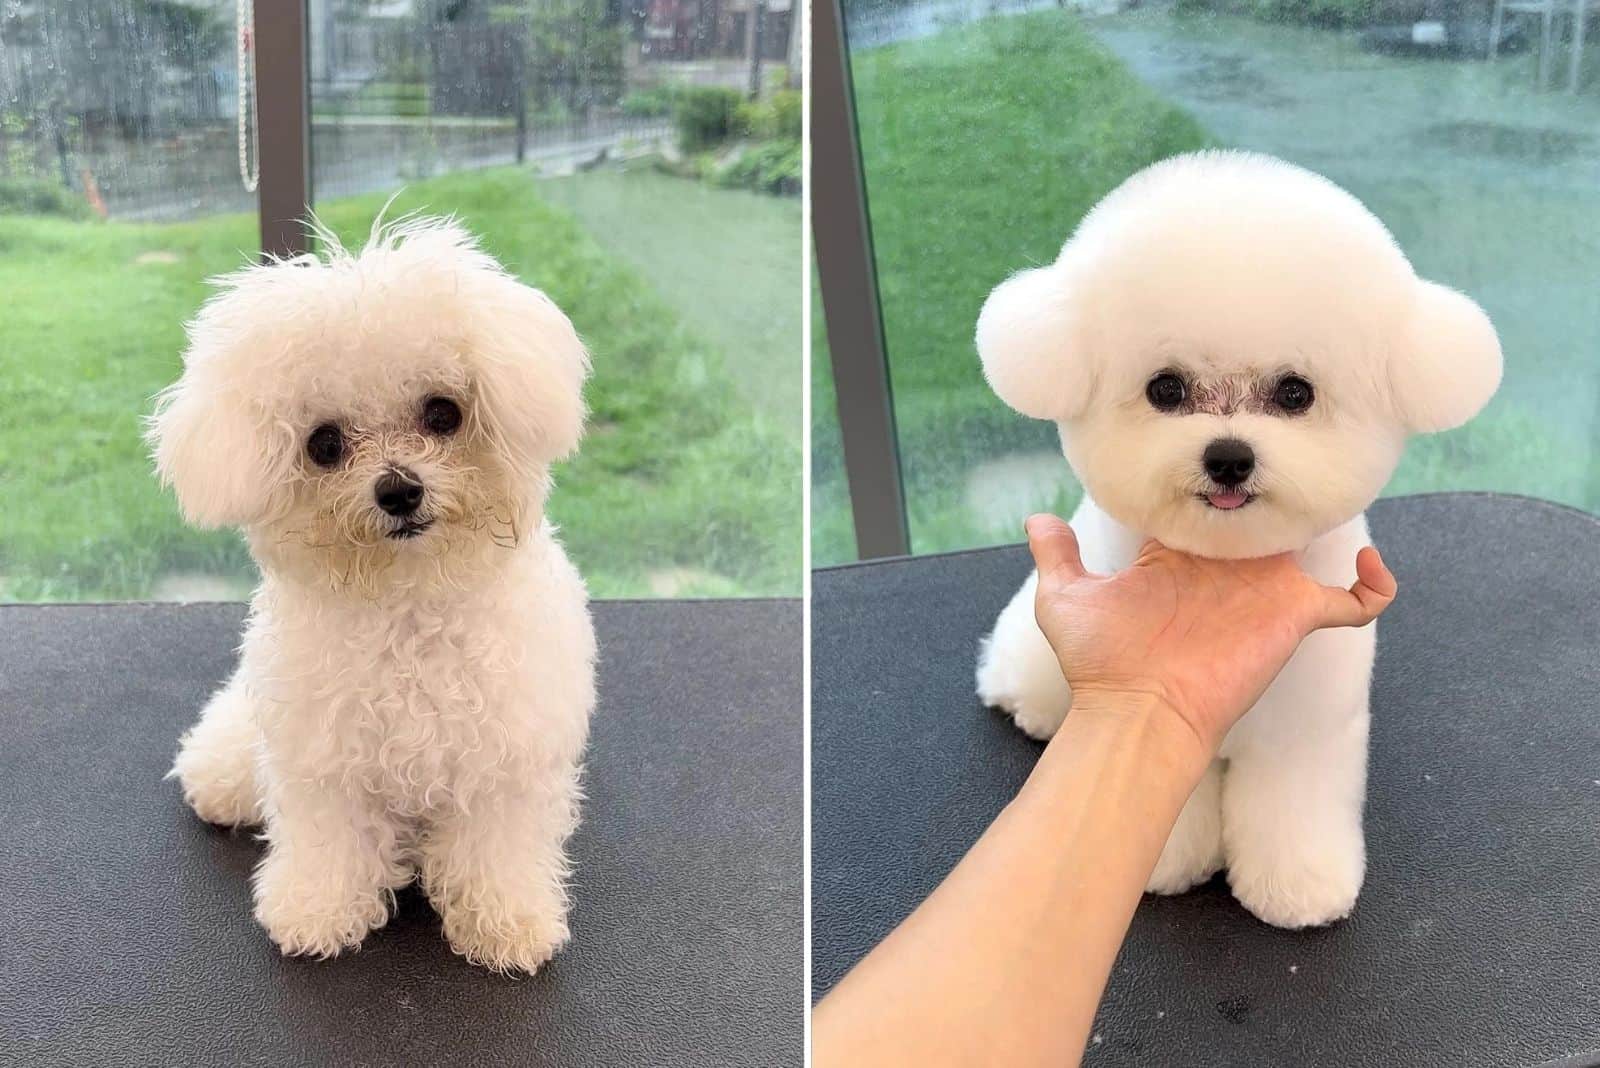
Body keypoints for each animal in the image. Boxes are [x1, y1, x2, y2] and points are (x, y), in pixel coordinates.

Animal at [150, 219, 598, 978]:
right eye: (324, 444)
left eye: (443, 413)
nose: (399, 490)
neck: (408, 604)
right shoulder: (323, 763)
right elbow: (329, 844)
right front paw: (315, 912)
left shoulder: (504, 760)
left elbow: (496, 850)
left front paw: (509, 923)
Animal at [972, 150, 1497, 927]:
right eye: (1165, 389)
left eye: (1294, 393)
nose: (1228, 457)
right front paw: (1165, 865)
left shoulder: (1307, 725)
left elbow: (1293, 801)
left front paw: (1298, 886)